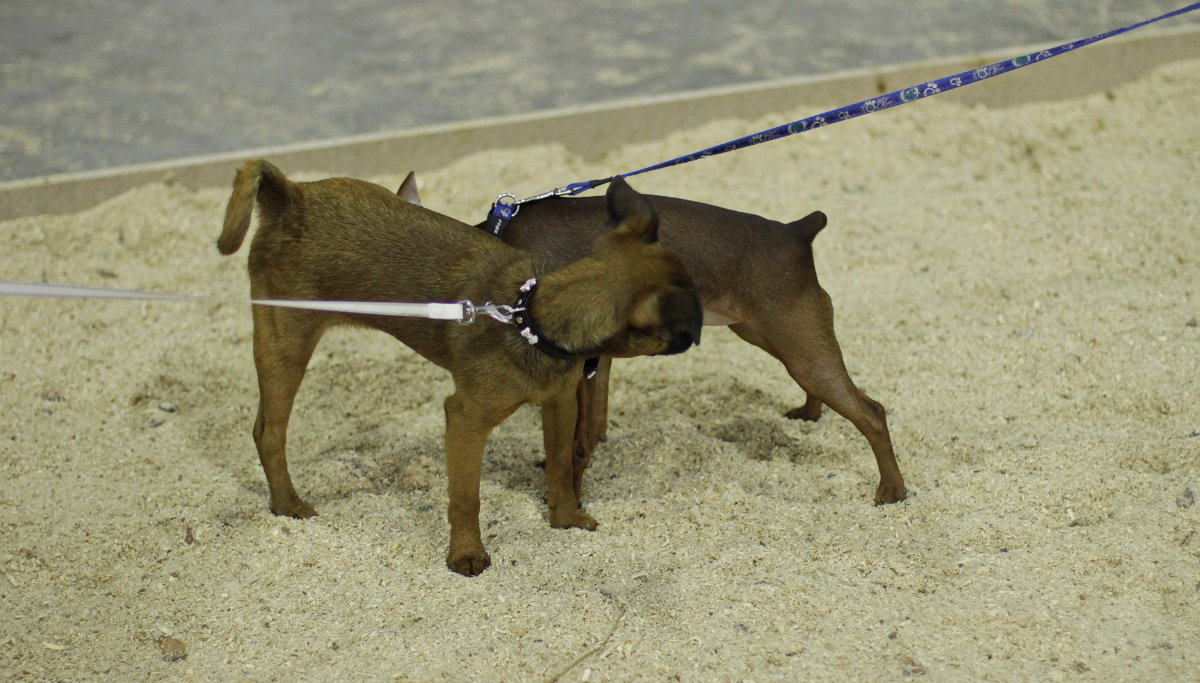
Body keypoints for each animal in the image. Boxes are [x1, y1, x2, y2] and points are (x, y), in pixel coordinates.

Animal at [220, 162, 700, 573]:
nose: (698, 331)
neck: (529, 316)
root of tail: (290, 196)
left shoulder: (559, 403)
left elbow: (561, 466)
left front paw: (565, 518)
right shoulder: (466, 421)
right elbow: (467, 496)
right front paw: (466, 553)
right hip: (285, 345)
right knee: (268, 432)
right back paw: (288, 506)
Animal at [398, 175, 902, 506]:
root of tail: (797, 230)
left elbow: (575, 446)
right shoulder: (595, 363)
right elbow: (590, 430)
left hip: (798, 344)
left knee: (872, 412)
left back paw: (891, 490)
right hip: (781, 340)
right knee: (826, 389)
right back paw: (809, 415)